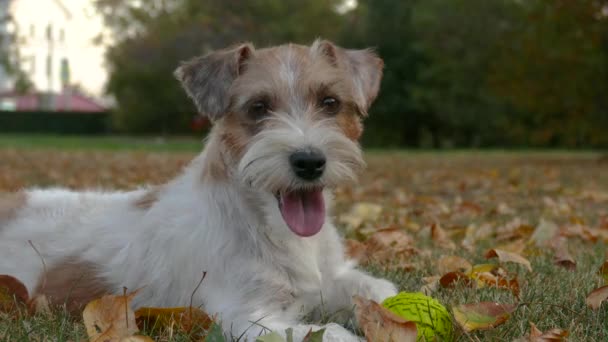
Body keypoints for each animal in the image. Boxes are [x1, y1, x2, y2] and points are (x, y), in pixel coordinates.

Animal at [0, 39, 400, 340]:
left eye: (330, 102)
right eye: (258, 107)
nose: (309, 161)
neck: (274, 229)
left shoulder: (333, 279)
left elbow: (380, 292)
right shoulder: (246, 317)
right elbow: (331, 332)